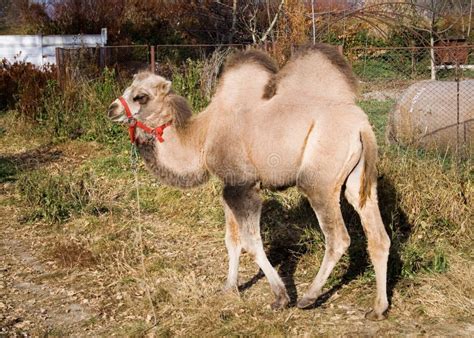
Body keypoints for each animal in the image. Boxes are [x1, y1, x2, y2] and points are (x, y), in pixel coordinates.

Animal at [108, 45, 392, 320]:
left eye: (141, 96)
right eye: (129, 88)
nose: (112, 109)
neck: (202, 137)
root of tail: (362, 127)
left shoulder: (243, 185)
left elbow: (251, 241)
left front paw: (280, 297)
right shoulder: (228, 187)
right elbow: (231, 240)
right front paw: (229, 287)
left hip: (319, 181)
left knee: (338, 238)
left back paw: (308, 297)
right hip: (359, 180)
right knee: (378, 236)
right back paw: (378, 308)